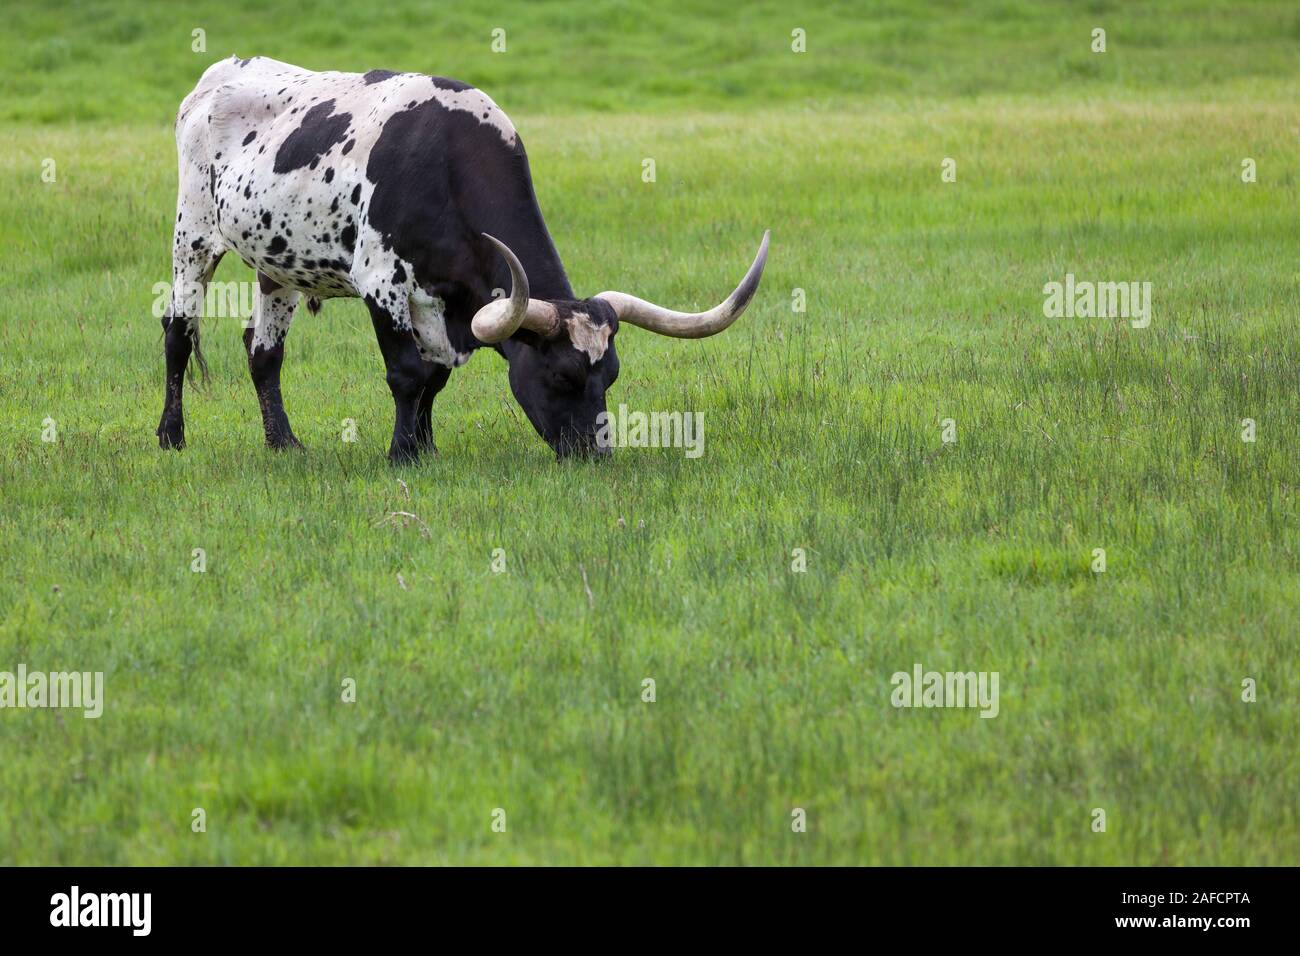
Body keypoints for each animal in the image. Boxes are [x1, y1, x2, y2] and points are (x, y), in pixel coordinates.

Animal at [158, 56, 768, 461]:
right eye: (564, 374)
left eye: (610, 376)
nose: (597, 456)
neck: (447, 163)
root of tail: (216, 76)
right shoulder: (381, 283)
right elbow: (406, 373)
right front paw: (402, 454)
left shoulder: (444, 304)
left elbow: (434, 377)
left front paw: (425, 446)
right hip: (193, 236)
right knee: (177, 332)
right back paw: (171, 436)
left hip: (278, 263)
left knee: (264, 352)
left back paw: (284, 443)